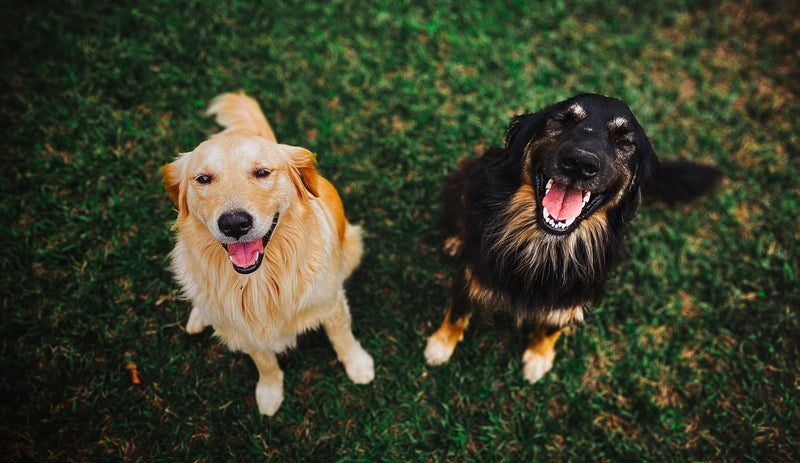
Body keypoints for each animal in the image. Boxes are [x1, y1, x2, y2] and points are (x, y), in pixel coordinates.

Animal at [165, 91, 376, 416]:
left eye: (262, 173)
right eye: (203, 179)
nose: (234, 224)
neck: (258, 282)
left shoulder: (331, 303)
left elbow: (342, 337)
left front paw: (358, 365)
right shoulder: (247, 331)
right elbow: (264, 363)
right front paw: (269, 393)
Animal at [428, 92, 720, 382]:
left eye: (622, 140)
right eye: (565, 121)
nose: (581, 163)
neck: (546, 245)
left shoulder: (572, 296)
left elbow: (551, 327)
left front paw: (538, 358)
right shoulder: (473, 270)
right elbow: (458, 312)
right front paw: (440, 346)